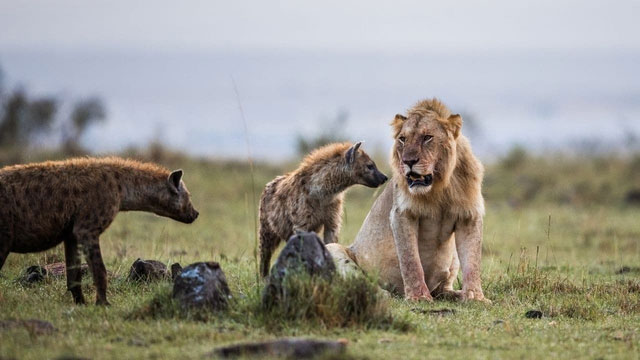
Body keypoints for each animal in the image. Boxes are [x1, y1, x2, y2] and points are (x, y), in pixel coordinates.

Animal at [328, 97, 488, 300]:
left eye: (427, 137)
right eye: (403, 139)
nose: (408, 161)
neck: (439, 186)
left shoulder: (469, 215)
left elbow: (473, 261)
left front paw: (475, 297)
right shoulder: (402, 214)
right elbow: (410, 260)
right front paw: (419, 297)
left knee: (444, 289)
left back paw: (455, 294)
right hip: (332, 248)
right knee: (360, 281)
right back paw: (382, 294)